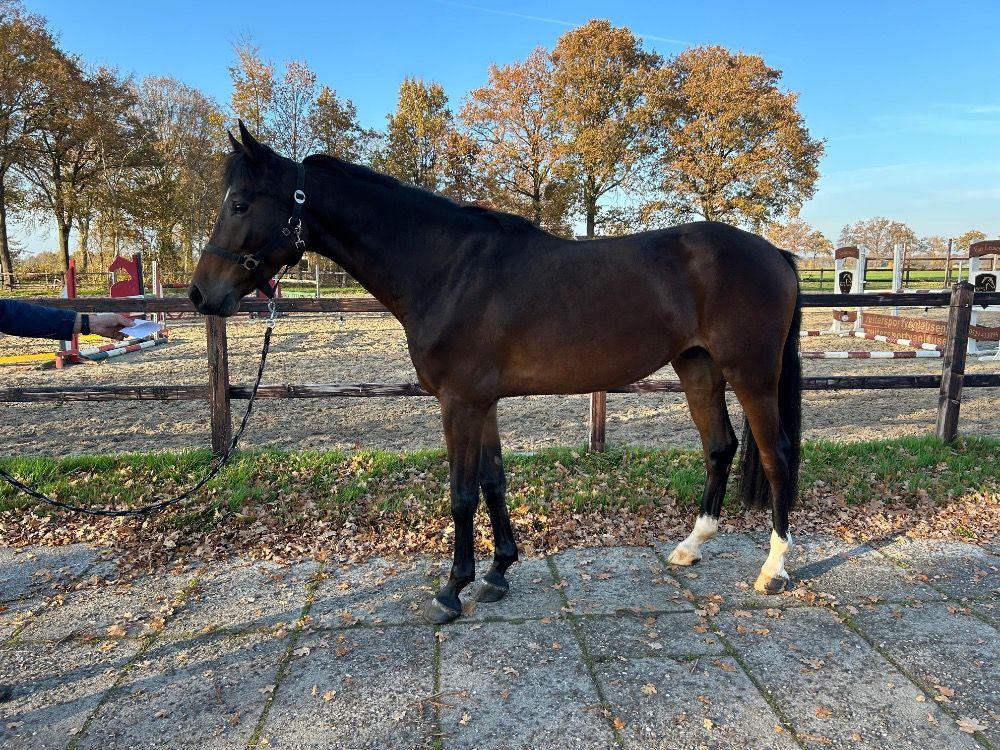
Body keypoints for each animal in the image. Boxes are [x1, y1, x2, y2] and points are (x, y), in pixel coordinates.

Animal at [189, 122, 802, 624]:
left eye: (239, 204)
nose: (200, 294)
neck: (447, 269)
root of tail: (775, 252)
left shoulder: (458, 401)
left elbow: (461, 492)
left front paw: (451, 590)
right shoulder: (481, 402)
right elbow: (492, 481)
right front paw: (498, 572)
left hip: (751, 373)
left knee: (776, 454)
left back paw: (773, 569)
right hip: (697, 366)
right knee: (720, 446)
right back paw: (691, 547)